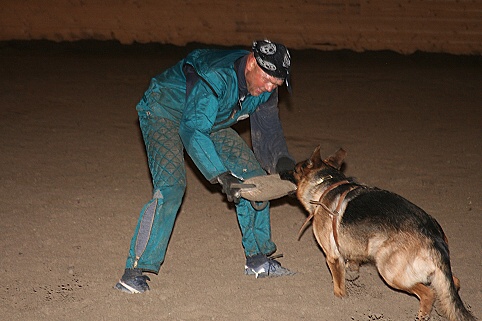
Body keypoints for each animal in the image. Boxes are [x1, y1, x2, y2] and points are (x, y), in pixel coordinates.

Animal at [292, 146, 476, 320]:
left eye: (295, 169)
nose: (286, 171)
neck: (327, 184)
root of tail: (434, 236)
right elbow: (353, 261)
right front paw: (352, 272)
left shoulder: (332, 256)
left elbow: (339, 284)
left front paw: (341, 300)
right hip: (432, 273)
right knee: (453, 283)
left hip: (389, 272)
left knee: (428, 293)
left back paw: (423, 315)